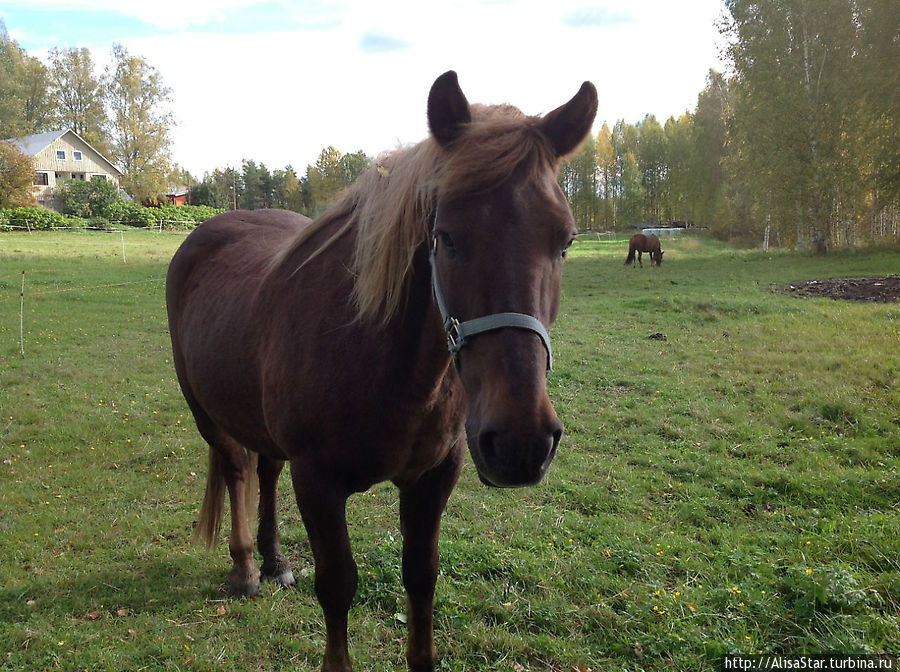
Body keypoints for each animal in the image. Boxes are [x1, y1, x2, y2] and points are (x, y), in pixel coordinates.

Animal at [167, 71, 596, 668]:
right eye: (448, 237)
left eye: (565, 241)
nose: (521, 442)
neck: (381, 361)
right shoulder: (318, 482)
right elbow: (337, 585)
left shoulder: (434, 477)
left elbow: (421, 577)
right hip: (207, 414)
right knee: (235, 471)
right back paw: (247, 567)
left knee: (265, 472)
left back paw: (276, 562)